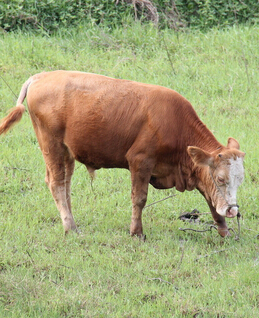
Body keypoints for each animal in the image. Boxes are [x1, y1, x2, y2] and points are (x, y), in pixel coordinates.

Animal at [0, 71, 246, 237]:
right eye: (221, 179)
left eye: (240, 180)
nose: (233, 211)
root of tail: (41, 76)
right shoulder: (140, 160)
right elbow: (139, 198)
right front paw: (136, 232)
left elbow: (211, 201)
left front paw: (224, 230)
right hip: (52, 144)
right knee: (57, 183)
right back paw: (70, 227)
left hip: (66, 151)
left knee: (65, 184)